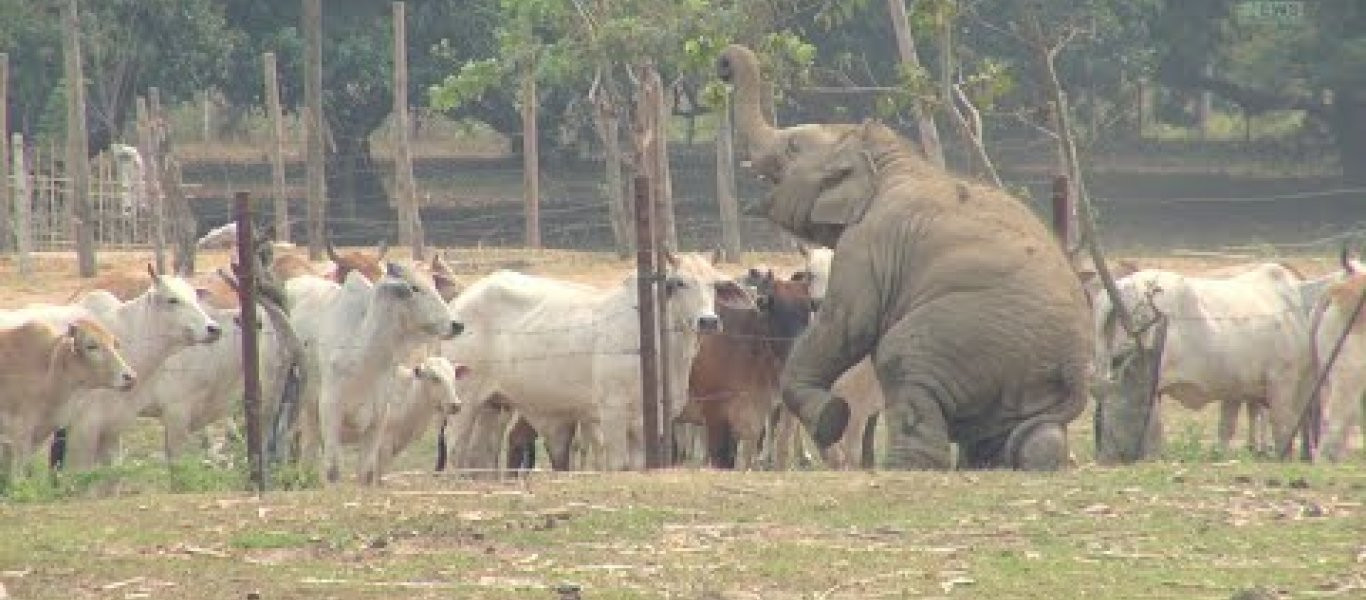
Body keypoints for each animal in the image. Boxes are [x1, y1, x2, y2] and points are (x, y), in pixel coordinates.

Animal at [285, 262, 461, 483]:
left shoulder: (378, 420)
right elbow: (333, 470)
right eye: (415, 288)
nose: (457, 324)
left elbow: (367, 474)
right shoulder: (331, 412)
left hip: (310, 415)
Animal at [445, 251, 748, 472]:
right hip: (465, 399)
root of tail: (460, 302)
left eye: (715, 284)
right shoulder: (611, 412)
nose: (708, 321)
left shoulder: (650, 421)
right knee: (455, 447)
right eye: (680, 283)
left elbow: (638, 465)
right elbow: (619, 464)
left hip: (495, 405)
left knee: (479, 456)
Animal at [715, 44, 1087, 472]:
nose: (722, 65)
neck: (888, 158)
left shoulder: (865, 246)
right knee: (1023, 431)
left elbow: (845, 324)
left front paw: (830, 418)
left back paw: (904, 466)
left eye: (792, 147)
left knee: (900, 356)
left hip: (968, 336)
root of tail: (1078, 364)